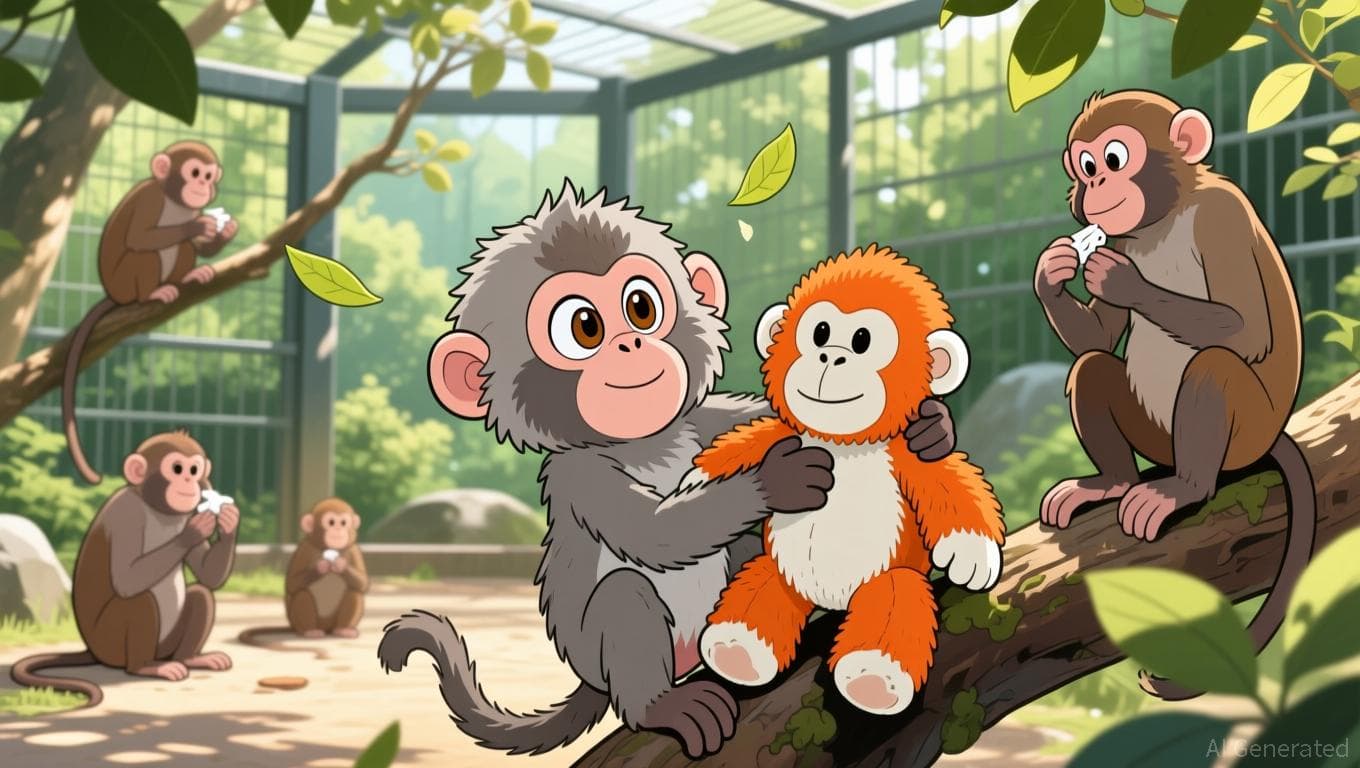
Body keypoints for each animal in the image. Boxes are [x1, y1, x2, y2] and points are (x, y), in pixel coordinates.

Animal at [11, 430, 240, 706]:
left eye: (194, 470)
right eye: (177, 468)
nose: (189, 480)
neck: (155, 506)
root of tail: (92, 650)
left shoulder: (185, 513)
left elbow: (209, 576)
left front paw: (229, 522)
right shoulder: (126, 513)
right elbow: (127, 580)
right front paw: (193, 532)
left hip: (164, 646)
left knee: (201, 595)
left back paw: (189, 658)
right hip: (111, 645)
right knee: (139, 602)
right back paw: (144, 667)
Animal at [62, 141, 240, 485]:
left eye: (208, 175)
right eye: (195, 173)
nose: (203, 186)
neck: (174, 200)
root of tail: (114, 294)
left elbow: (197, 245)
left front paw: (224, 233)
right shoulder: (150, 199)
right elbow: (140, 236)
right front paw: (196, 226)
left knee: (183, 248)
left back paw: (186, 278)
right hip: (123, 282)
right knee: (144, 254)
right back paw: (154, 293)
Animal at [376, 180, 960, 759]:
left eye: (640, 306)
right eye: (583, 327)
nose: (630, 343)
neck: (648, 443)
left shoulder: (703, 418)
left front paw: (934, 427)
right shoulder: (579, 475)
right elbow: (656, 533)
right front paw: (775, 481)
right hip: (598, 648)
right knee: (625, 596)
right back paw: (661, 705)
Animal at [690, 245, 1005, 716]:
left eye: (862, 340)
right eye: (820, 332)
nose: (829, 356)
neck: (840, 442)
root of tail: (829, 601)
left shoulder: (906, 453)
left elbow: (945, 481)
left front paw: (970, 552)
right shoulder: (783, 435)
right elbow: (743, 445)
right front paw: (696, 477)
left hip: (888, 581)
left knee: (895, 604)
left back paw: (873, 678)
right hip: (781, 572)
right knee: (761, 588)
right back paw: (738, 649)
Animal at [1033, 90, 1316, 700]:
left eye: (1114, 158)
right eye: (1085, 166)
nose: (1095, 186)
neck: (1162, 220)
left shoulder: (1223, 216)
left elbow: (1246, 330)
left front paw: (1124, 282)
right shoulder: (1117, 236)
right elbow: (1096, 340)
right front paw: (1053, 271)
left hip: (1244, 434)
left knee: (1215, 366)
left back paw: (1184, 488)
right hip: (1153, 434)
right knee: (1093, 370)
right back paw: (1113, 482)